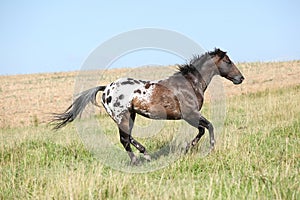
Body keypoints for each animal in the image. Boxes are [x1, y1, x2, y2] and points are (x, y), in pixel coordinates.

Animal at [51, 48, 244, 164]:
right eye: (228, 61)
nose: (240, 78)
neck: (190, 83)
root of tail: (106, 88)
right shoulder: (190, 114)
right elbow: (208, 127)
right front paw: (208, 148)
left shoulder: (190, 116)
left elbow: (202, 129)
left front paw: (188, 148)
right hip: (122, 117)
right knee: (124, 139)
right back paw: (138, 159)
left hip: (131, 115)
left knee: (128, 138)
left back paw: (145, 154)